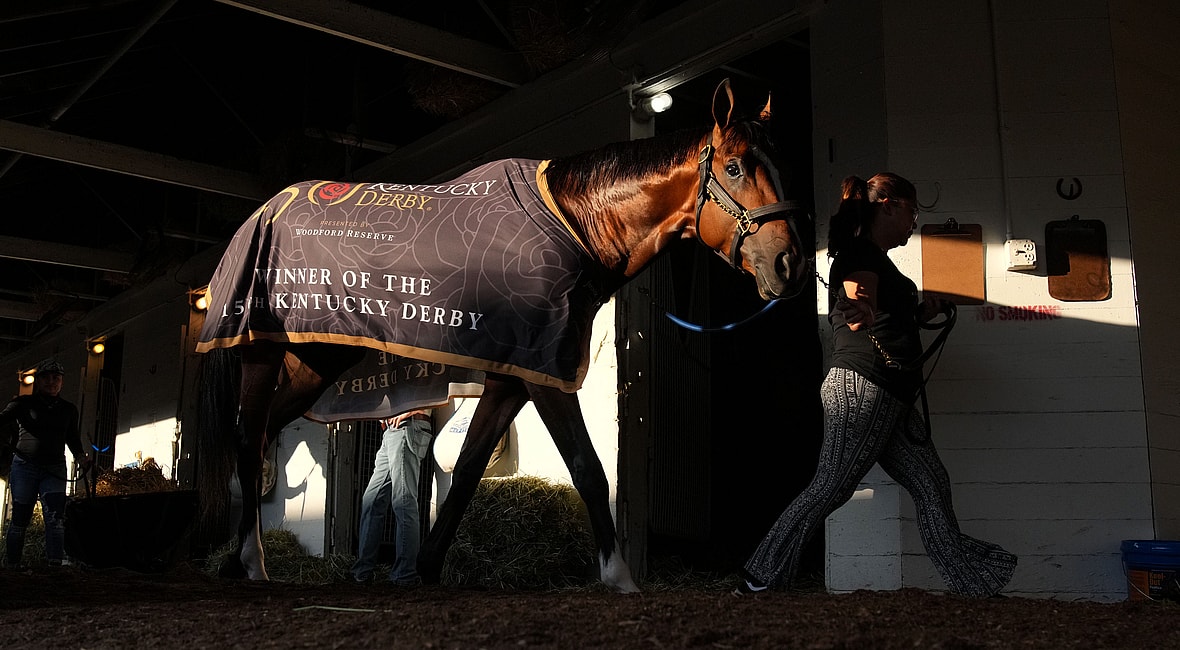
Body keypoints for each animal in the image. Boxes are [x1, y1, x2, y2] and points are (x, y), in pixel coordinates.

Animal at [195, 79, 810, 593]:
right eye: (735, 167)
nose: (790, 264)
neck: (572, 223)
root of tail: (261, 214)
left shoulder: (512, 376)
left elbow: (468, 467)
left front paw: (427, 568)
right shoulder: (546, 373)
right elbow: (587, 466)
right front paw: (620, 576)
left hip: (313, 363)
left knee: (259, 437)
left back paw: (235, 559)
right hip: (263, 351)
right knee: (248, 439)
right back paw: (252, 562)